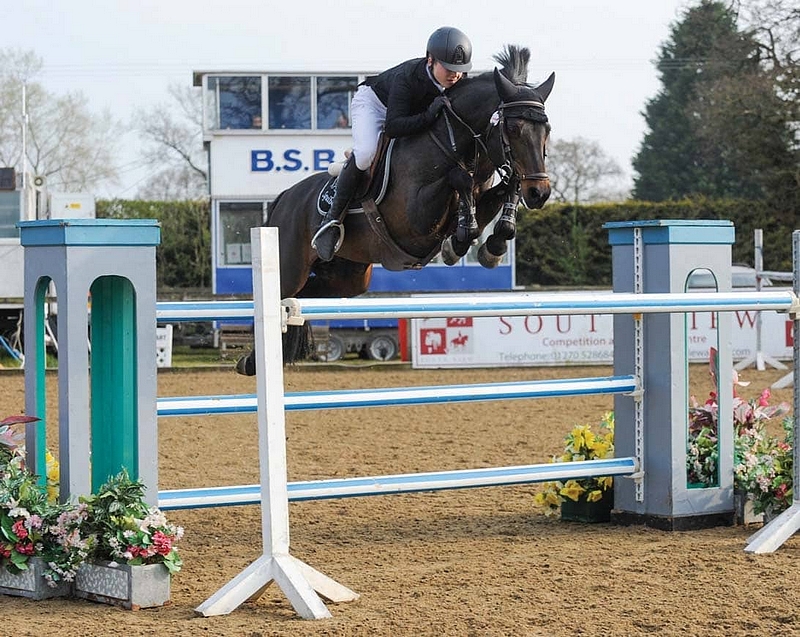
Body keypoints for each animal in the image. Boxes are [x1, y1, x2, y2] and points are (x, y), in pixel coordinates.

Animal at [234, 44, 552, 372]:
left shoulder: (480, 197)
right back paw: (251, 361)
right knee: (283, 295)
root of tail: (284, 196)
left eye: (547, 130)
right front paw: (460, 242)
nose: (539, 193)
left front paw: (490, 246)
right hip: (291, 266)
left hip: (348, 278)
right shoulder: (414, 220)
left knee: (304, 297)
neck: (452, 143)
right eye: (513, 128)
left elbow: (503, 192)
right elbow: (458, 178)